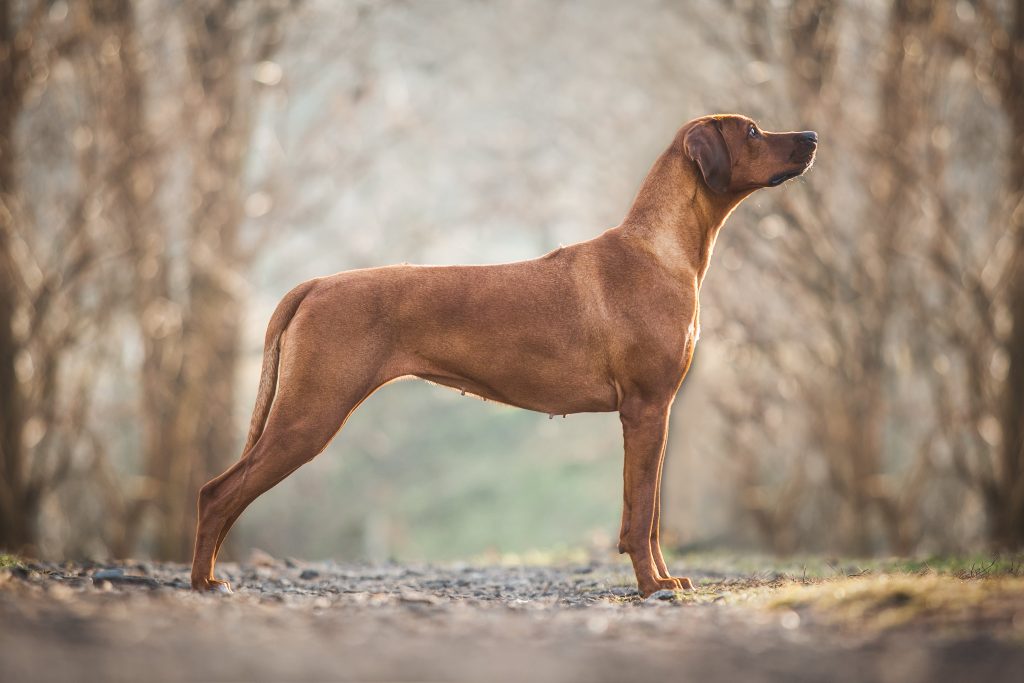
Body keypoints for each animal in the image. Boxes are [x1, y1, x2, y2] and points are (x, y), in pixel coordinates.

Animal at [190, 114, 815, 593]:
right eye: (753, 130)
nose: (811, 136)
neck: (659, 248)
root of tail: (315, 283)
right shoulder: (646, 409)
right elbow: (642, 518)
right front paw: (651, 588)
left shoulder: (652, 414)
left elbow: (647, 515)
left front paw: (662, 579)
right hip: (310, 415)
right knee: (217, 493)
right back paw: (203, 583)